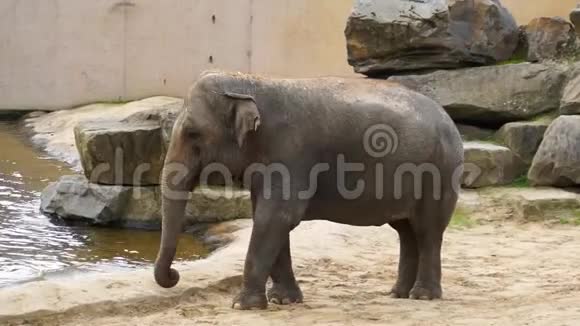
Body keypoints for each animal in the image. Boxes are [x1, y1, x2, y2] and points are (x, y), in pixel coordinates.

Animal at [153, 70, 462, 310]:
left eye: (193, 133)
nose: (174, 275)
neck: (251, 82)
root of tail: (449, 120)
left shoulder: (291, 151)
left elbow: (275, 217)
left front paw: (242, 305)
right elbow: (270, 219)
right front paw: (283, 301)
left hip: (439, 172)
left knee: (427, 230)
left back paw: (423, 296)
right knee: (406, 231)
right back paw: (398, 294)